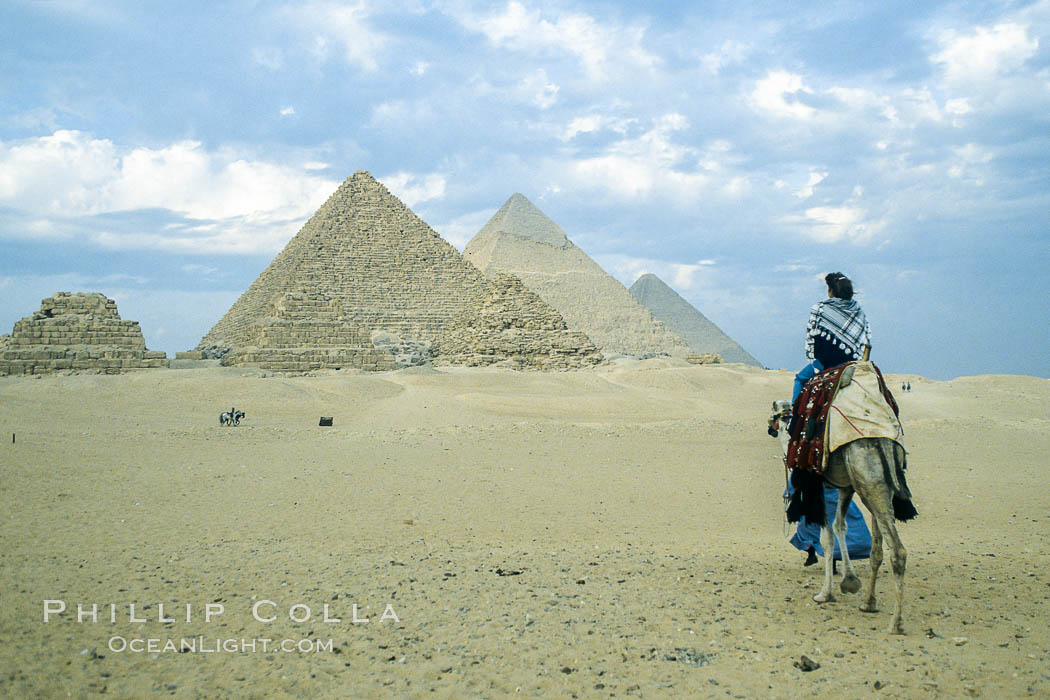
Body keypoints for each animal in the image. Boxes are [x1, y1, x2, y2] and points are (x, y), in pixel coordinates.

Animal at [768, 392, 915, 638]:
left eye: (774, 411)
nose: (770, 427)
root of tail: (883, 440)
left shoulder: (816, 487)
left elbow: (827, 539)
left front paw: (825, 594)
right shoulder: (846, 487)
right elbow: (840, 526)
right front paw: (850, 581)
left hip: (866, 478)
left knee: (897, 551)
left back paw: (896, 623)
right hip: (875, 485)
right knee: (878, 548)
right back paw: (868, 603)